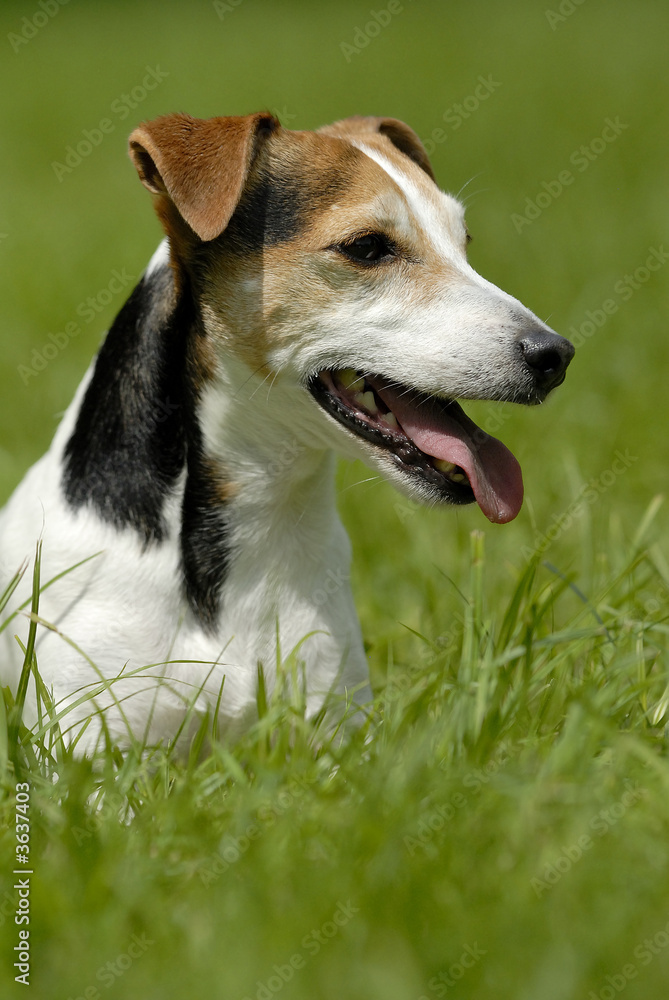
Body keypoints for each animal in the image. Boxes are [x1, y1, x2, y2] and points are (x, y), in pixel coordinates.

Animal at [0, 111, 576, 752]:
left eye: (464, 242)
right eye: (366, 247)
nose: (555, 355)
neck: (259, 508)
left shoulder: (336, 731)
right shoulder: (87, 747)